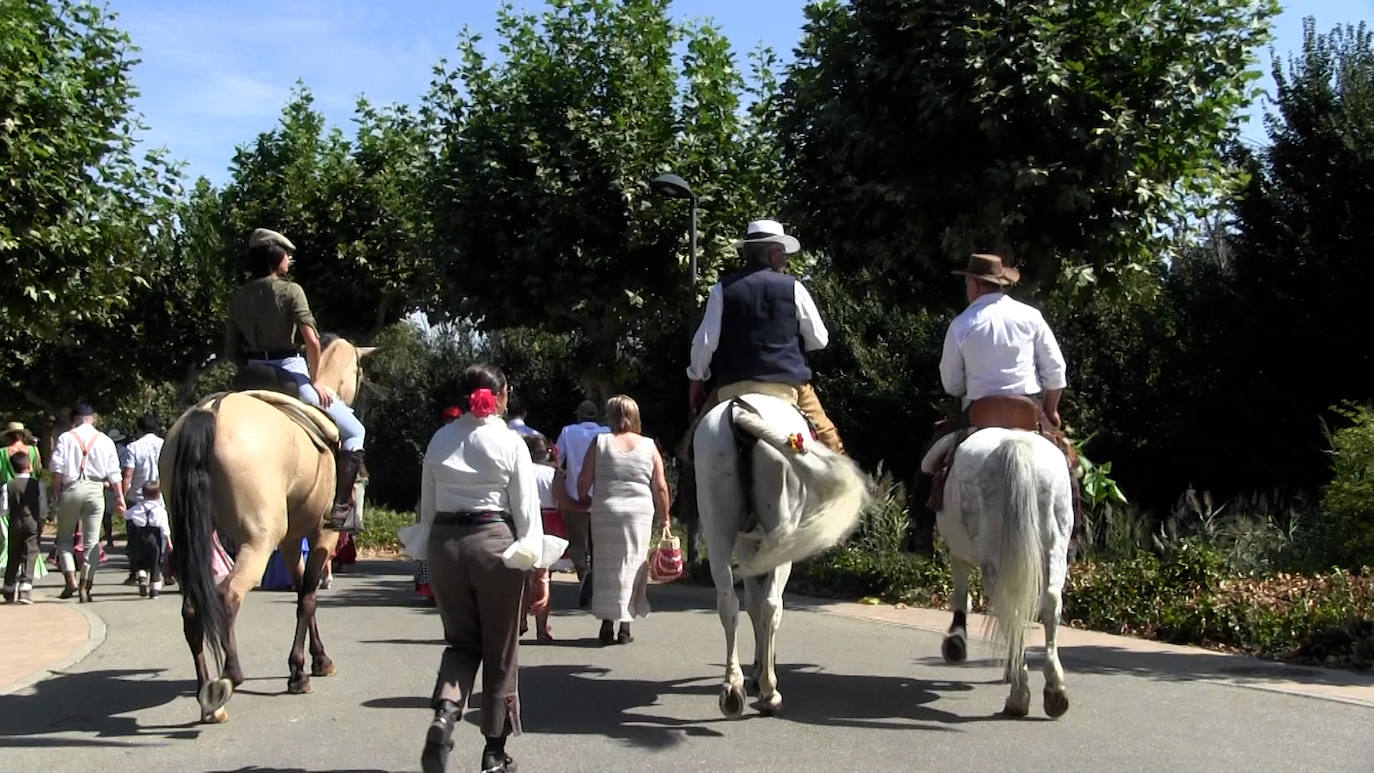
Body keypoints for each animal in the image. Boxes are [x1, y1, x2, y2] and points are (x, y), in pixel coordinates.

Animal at [160, 339, 376, 724]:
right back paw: (228, 678)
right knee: (228, 596)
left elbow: (304, 593)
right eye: (360, 372)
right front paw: (301, 671)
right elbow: (308, 598)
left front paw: (312, 662)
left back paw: (207, 696)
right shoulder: (322, 537)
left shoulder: (291, 543)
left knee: (192, 610)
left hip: (189, 543)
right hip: (258, 541)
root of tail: (211, 410)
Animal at [697, 392, 868, 719]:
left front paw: (752, 670)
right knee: (771, 605)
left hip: (718, 533)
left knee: (728, 603)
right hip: (781, 538)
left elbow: (749, 604)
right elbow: (761, 606)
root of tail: (739, 413)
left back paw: (732, 688)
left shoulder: (746, 545)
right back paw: (769, 691)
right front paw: (760, 671)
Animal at [923, 425, 1071, 719]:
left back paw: (1018, 696)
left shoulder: (958, 552)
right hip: (1055, 548)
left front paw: (956, 642)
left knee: (1008, 610)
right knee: (1049, 606)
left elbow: (960, 593)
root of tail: (1016, 444)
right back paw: (1054, 692)